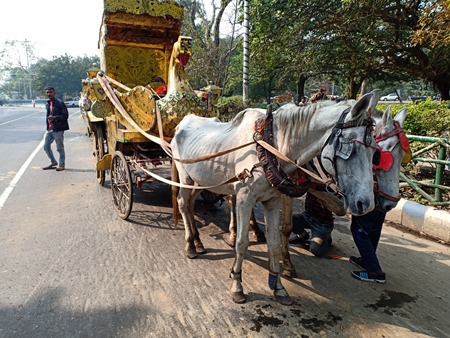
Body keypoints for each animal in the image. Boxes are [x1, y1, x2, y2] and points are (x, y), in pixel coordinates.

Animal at [172, 92, 380, 304]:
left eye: (375, 152)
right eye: (349, 148)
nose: (366, 204)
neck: (270, 146)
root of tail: (184, 121)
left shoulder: (272, 200)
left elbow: (274, 242)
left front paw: (278, 286)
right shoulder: (245, 198)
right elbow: (241, 243)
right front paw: (237, 285)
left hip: (201, 181)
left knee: (190, 204)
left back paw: (198, 242)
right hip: (185, 175)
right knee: (182, 203)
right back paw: (190, 246)